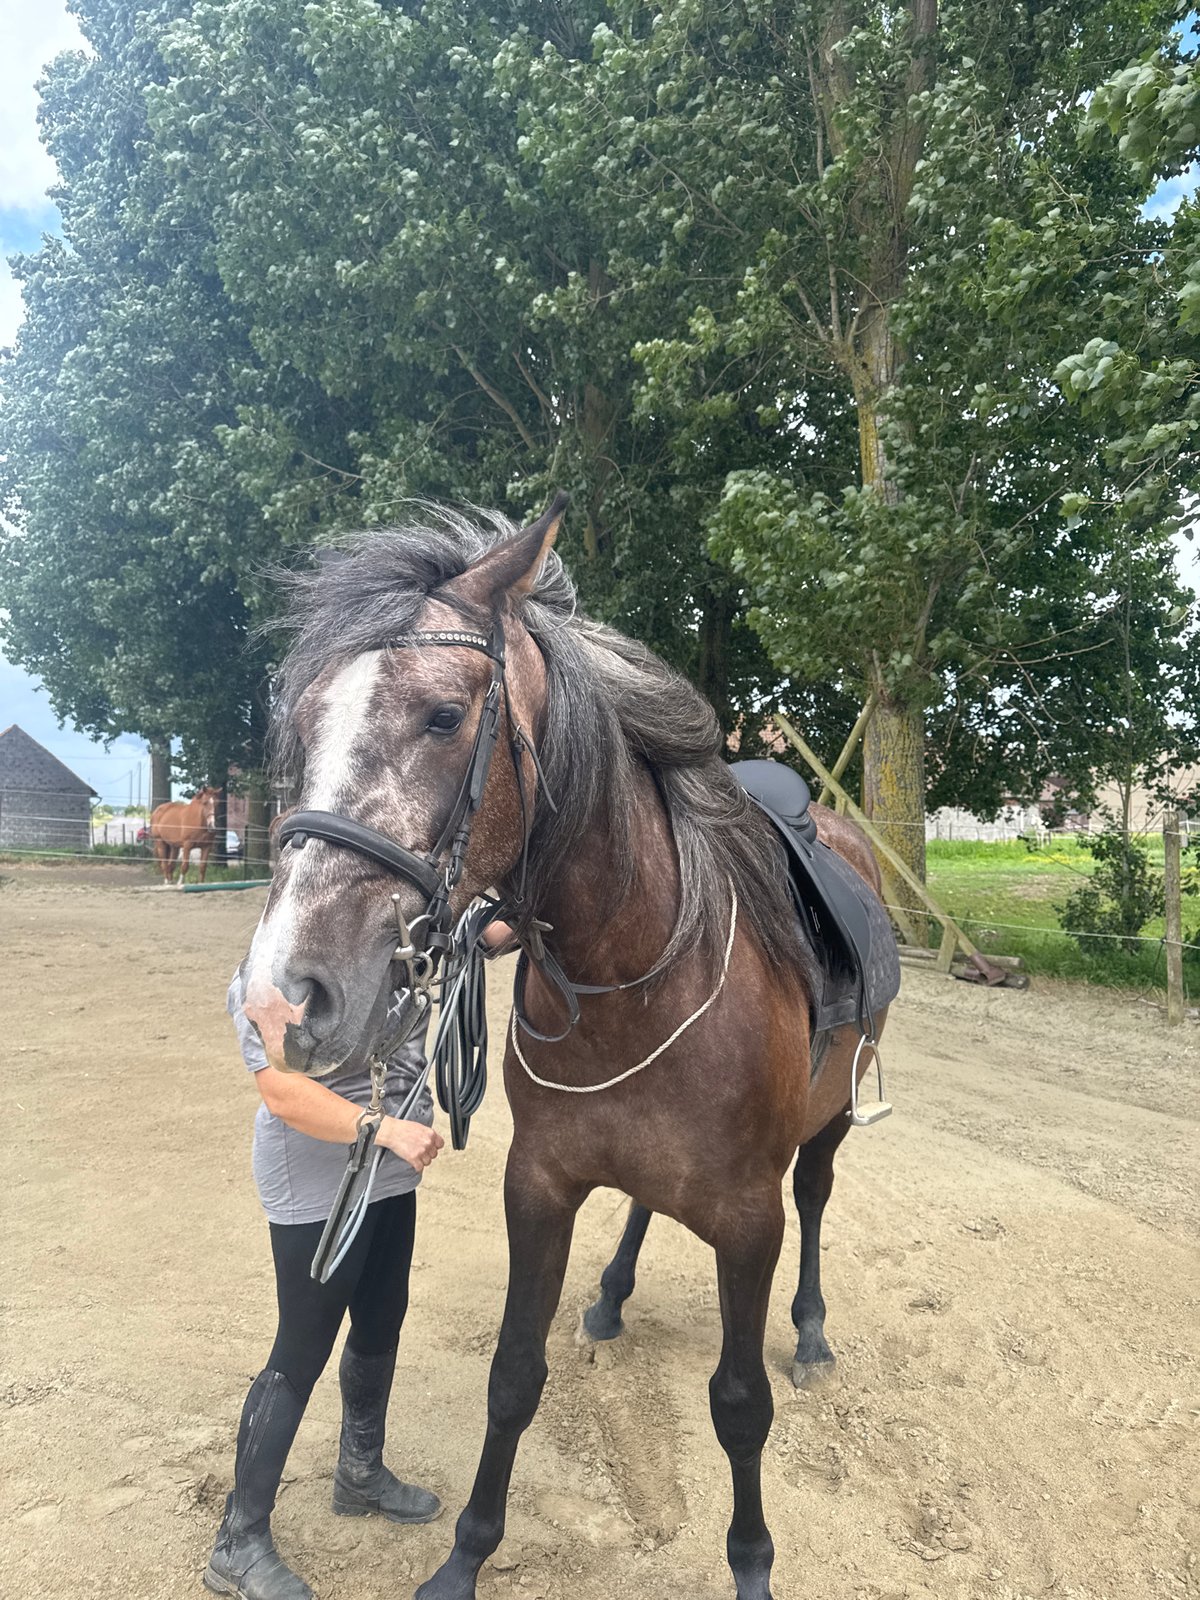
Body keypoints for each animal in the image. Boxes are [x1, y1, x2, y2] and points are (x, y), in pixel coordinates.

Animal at [239, 500, 892, 1600]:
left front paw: (753, 1563)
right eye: (306, 721)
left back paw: (809, 1329)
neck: (633, 971)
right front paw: (464, 1556)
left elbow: (740, 1404)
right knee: (642, 1204)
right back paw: (612, 1294)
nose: (287, 995)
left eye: (443, 716)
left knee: (816, 1199)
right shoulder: (539, 1182)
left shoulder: (748, 1220)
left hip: (832, 1121)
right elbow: (514, 1374)